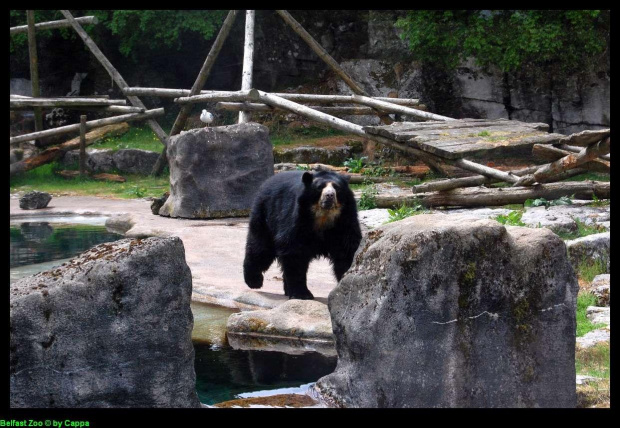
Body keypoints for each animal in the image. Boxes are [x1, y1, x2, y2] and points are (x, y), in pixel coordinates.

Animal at [243, 169, 364, 300]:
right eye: (319, 187)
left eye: (337, 188)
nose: (330, 195)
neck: (323, 216)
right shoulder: (298, 219)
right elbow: (294, 252)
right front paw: (302, 294)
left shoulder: (345, 221)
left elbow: (346, 250)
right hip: (266, 214)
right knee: (261, 248)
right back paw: (254, 281)